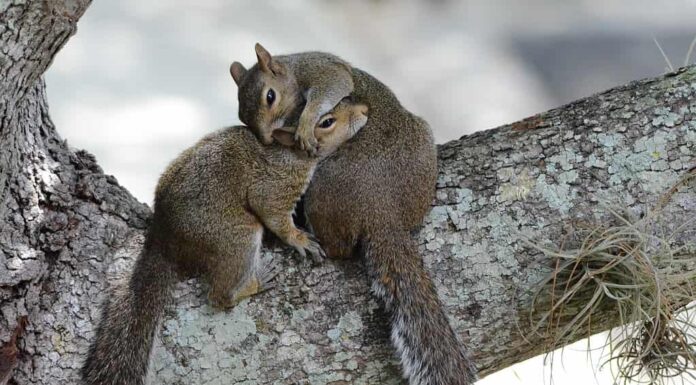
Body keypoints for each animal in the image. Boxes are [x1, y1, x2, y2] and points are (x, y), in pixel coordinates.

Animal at [80, 99, 370, 384]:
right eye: (327, 122)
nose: (364, 110)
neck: (289, 154)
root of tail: (165, 241)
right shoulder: (274, 187)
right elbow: (274, 216)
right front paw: (299, 240)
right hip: (236, 237)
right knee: (219, 296)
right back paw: (251, 285)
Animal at [231, 45, 476, 384]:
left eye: (270, 96)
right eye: (242, 114)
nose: (265, 139)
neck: (292, 71)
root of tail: (382, 210)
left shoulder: (319, 68)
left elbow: (334, 82)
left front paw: (305, 124)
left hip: (319, 194)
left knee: (339, 250)